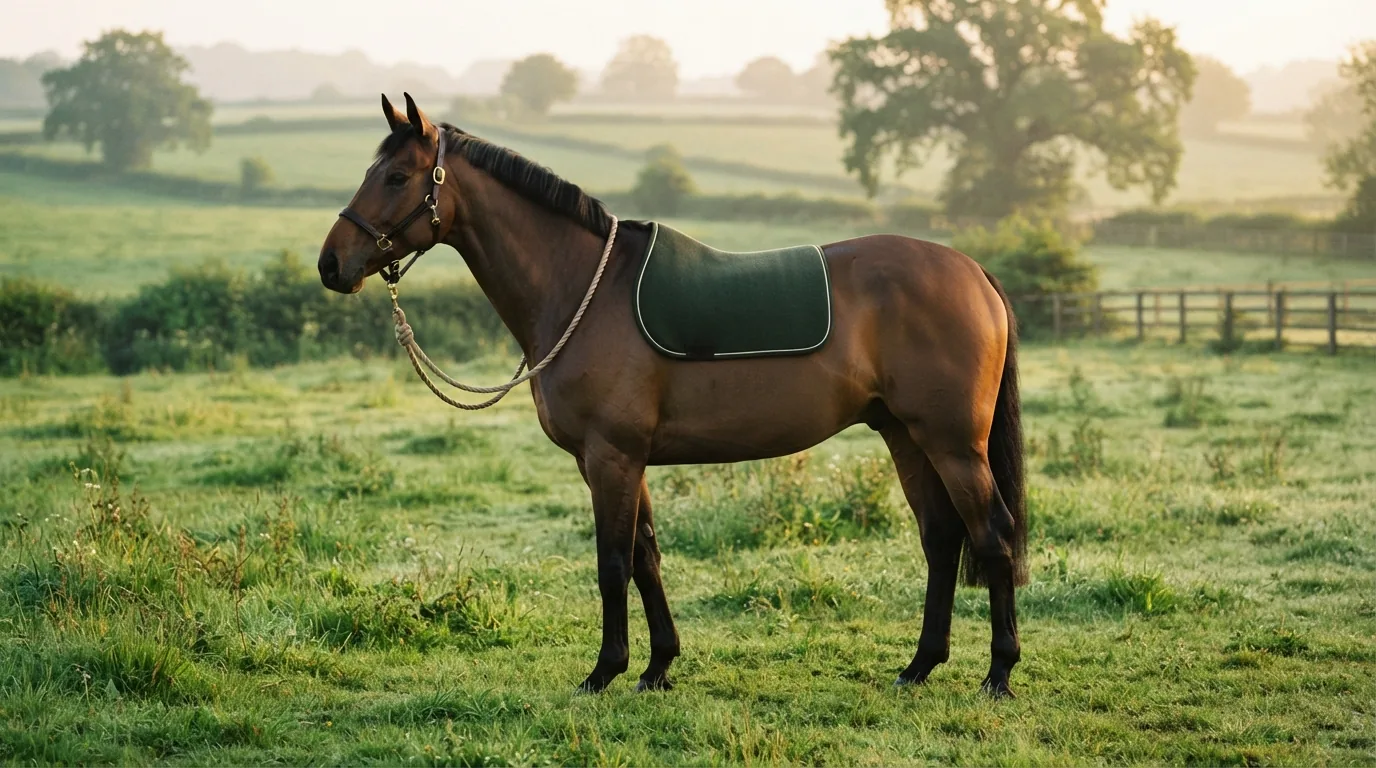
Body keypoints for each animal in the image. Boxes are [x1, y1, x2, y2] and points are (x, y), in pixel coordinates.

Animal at [318, 94, 1028, 697]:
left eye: (397, 178)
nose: (331, 264)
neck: (583, 288)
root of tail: (973, 272)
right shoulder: (619, 460)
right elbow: (646, 556)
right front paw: (657, 667)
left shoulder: (611, 456)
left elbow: (612, 563)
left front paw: (604, 671)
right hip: (906, 436)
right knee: (941, 537)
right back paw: (920, 665)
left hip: (953, 444)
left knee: (992, 535)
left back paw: (998, 673)